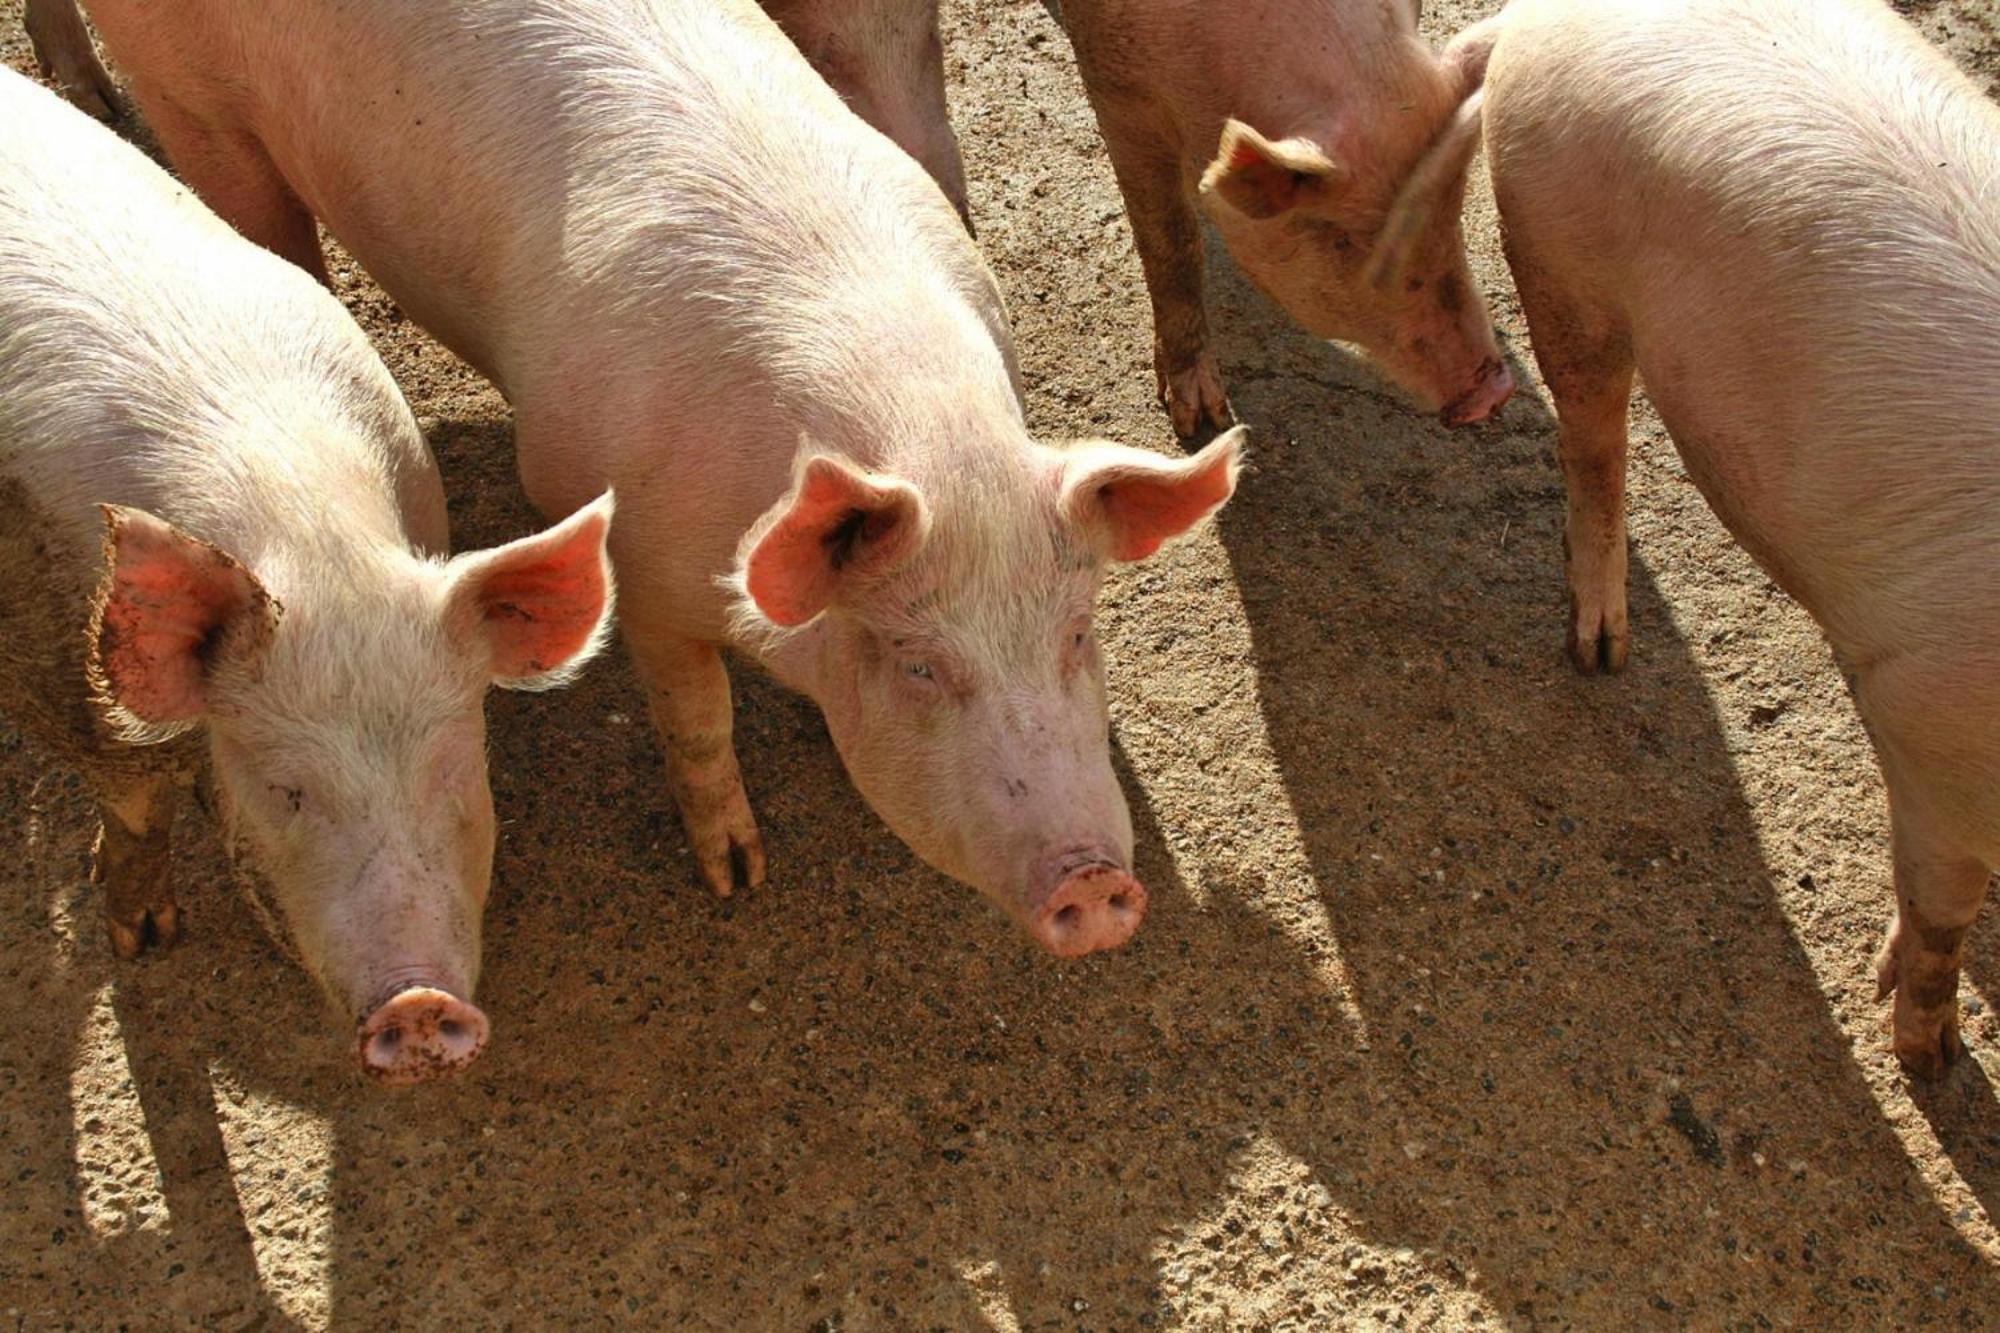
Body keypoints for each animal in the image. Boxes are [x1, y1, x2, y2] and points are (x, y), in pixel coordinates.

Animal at [0, 67, 616, 1080]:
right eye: (287, 790)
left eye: (456, 765)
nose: (418, 1003)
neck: (311, 529)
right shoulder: (48, 658)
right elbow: (132, 797)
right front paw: (142, 935)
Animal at [1056, 0, 1504, 434]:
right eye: (1346, 240)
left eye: (1452, 212)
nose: (1497, 389)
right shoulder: (1116, 89)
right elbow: (1171, 243)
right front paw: (1203, 421)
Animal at [1472, 0, 2000, 1072]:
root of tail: (1532, 16)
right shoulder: (1941, 721)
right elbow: (1943, 910)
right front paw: (1931, 1059)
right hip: (1556, 250)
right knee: (1593, 441)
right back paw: (1600, 651)